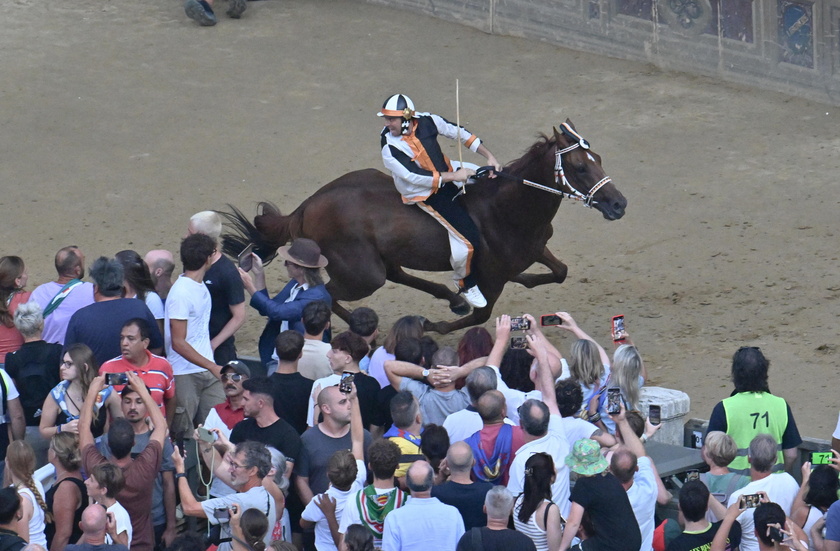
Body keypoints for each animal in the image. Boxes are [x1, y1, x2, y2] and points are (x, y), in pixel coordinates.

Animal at [220, 121, 628, 334]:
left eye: (599, 158)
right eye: (579, 167)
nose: (619, 204)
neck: (507, 208)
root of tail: (308, 205)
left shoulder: (536, 248)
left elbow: (560, 271)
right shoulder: (491, 275)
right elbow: (482, 313)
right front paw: (433, 325)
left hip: (374, 260)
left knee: (395, 273)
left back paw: (450, 297)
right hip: (362, 273)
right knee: (330, 294)